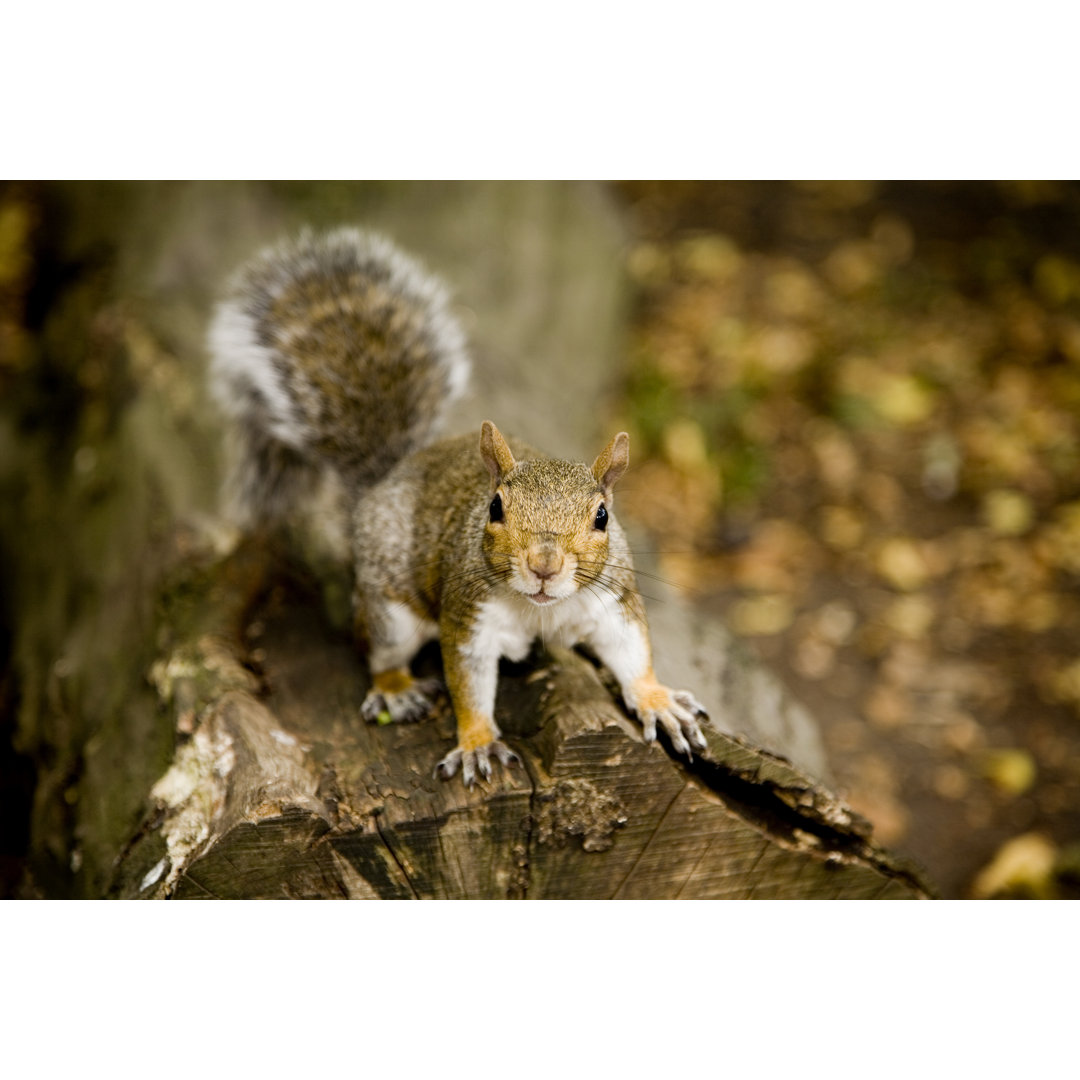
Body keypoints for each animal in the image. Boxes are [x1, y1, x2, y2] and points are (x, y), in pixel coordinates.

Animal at [207, 225, 712, 786]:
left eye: (602, 516)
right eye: (494, 509)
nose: (544, 566)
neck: (540, 610)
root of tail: (385, 482)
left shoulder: (611, 602)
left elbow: (631, 652)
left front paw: (658, 701)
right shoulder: (468, 618)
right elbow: (468, 686)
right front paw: (476, 742)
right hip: (390, 607)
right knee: (376, 648)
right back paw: (396, 689)